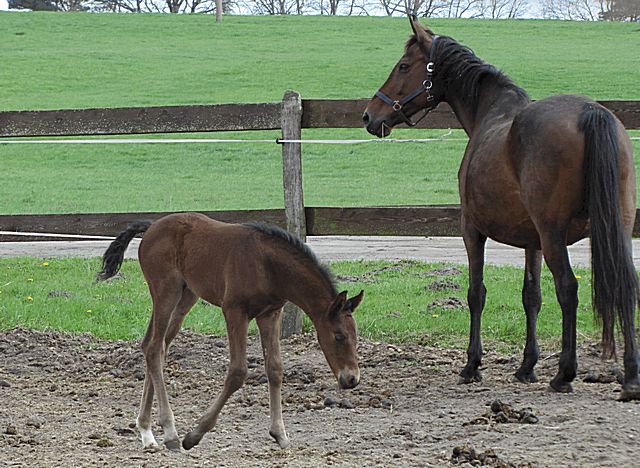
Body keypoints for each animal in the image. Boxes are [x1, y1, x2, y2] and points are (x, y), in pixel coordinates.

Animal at [97, 212, 362, 450]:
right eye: (339, 336)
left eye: (356, 337)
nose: (351, 379)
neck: (267, 266)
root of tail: (151, 227)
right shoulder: (234, 311)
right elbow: (237, 372)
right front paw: (195, 434)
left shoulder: (270, 314)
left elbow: (275, 369)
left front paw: (280, 434)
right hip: (165, 291)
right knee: (153, 348)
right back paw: (170, 433)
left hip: (186, 296)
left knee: (155, 346)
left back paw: (147, 432)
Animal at [364, 16, 640, 400]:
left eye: (404, 66)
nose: (369, 116)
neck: (490, 114)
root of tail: (591, 112)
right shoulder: (532, 242)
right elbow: (531, 296)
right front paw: (527, 366)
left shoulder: (472, 230)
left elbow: (476, 293)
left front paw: (472, 365)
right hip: (616, 229)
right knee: (627, 285)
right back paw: (630, 377)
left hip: (555, 237)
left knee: (568, 289)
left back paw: (564, 373)